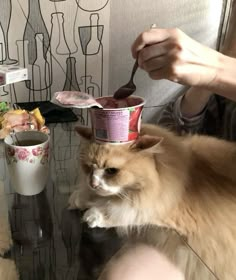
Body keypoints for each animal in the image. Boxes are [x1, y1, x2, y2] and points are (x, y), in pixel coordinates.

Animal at [68, 123, 236, 278]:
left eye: (111, 171)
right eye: (88, 168)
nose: (93, 184)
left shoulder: (157, 210)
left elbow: (121, 212)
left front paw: (92, 215)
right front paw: (79, 199)